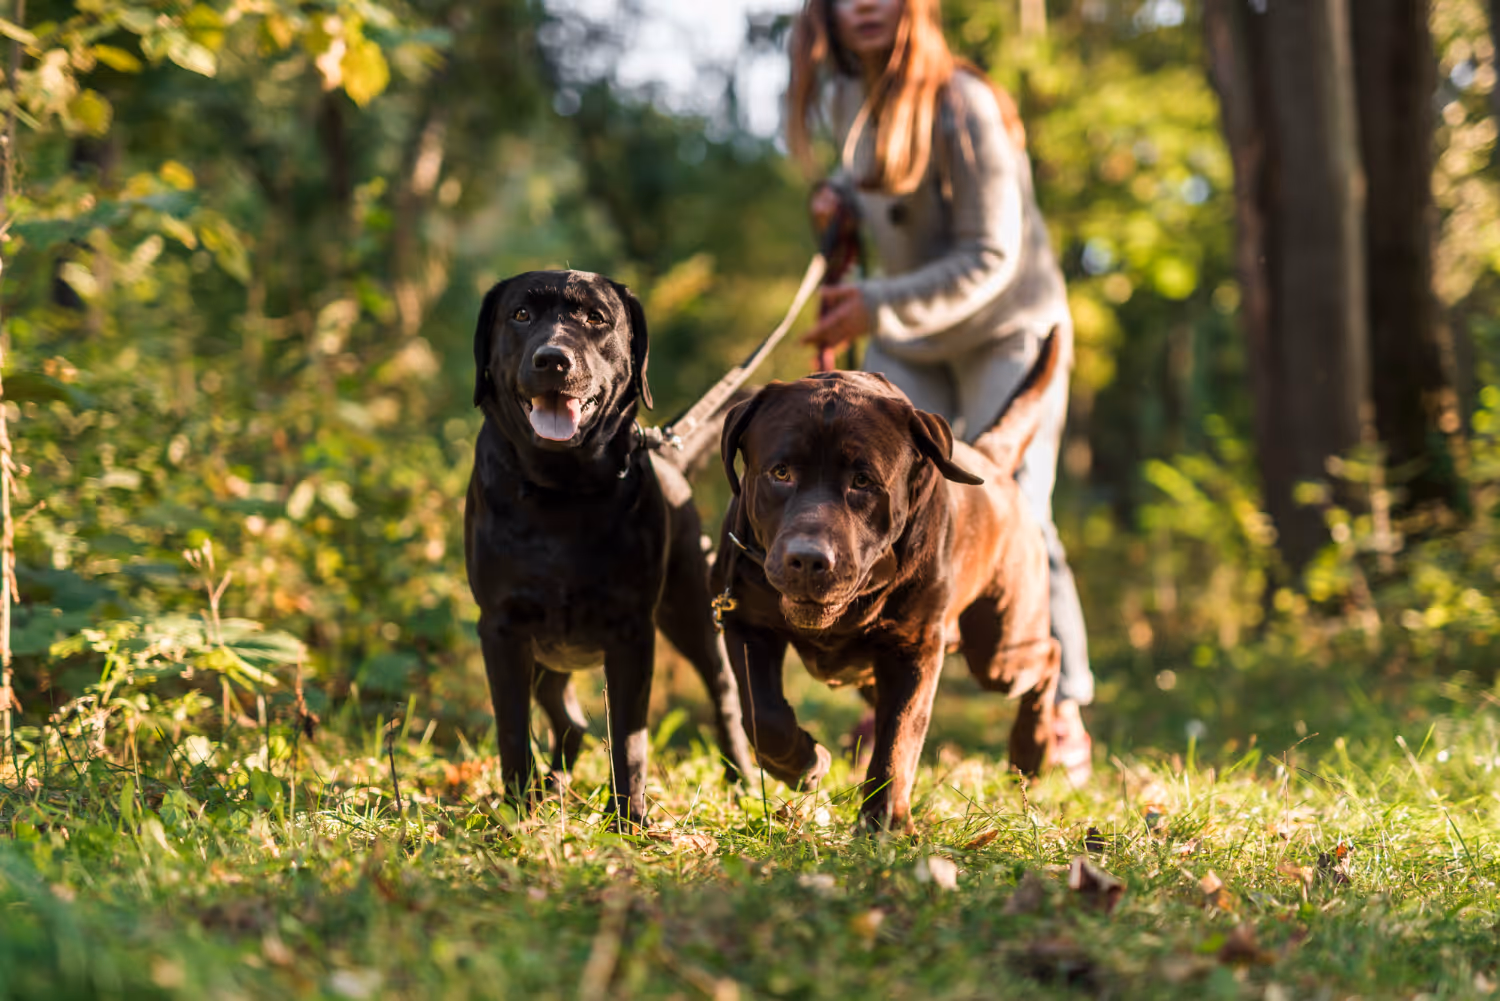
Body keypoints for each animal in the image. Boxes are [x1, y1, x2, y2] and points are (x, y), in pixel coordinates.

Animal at [465, 270, 754, 826]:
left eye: (596, 318)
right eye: (520, 315)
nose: (553, 358)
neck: (560, 491)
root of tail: (671, 458)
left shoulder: (632, 632)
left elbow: (628, 738)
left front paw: (629, 821)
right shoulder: (502, 629)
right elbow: (512, 729)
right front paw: (516, 812)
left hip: (691, 611)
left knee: (724, 696)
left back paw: (744, 782)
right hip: (546, 656)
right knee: (569, 720)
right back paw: (551, 787)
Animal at [711, 332, 1062, 831]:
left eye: (863, 481)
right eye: (781, 473)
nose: (808, 559)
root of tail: (990, 460)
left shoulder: (913, 649)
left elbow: (899, 738)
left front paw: (886, 823)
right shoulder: (745, 620)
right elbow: (764, 715)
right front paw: (805, 763)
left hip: (1000, 650)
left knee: (1046, 658)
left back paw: (1032, 750)